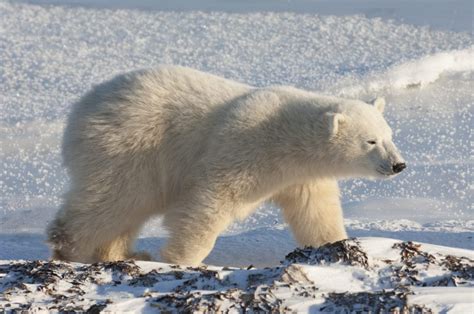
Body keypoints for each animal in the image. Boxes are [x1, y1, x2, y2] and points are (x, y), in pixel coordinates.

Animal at [47, 65, 404, 266]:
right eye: (371, 141)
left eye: (390, 135)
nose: (398, 165)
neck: (286, 138)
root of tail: (81, 108)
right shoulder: (243, 147)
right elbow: (210, 201)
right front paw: (182, 259)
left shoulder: (301, 177)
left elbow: (316, 212)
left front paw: (337, 245)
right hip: (130, 145)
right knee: (115, 198)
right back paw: (71, 248)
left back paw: (122, 254)